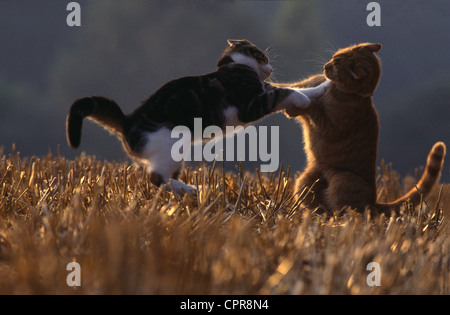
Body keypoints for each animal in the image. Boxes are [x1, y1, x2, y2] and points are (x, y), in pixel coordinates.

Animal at [66, 39, 326, 195]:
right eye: (264, 56)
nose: (271, 69)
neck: (232, 66)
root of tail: (127, 121)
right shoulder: (252, 103)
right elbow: (285, 92)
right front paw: (303, 99)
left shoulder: (262, 91)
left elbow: (294, 89)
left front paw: (320, 89)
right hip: (169, 146)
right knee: (156, 179)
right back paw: (190, 189)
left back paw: (187, 190)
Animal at [284, 42, 444, 215]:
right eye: (334, 57)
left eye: (336, 64)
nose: (325, 66)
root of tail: (374, 202)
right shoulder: (308, 87)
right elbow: (291, 87)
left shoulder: (329, 124)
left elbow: (314, 106)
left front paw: (298, 105)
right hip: (305, 182)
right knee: (319, 205)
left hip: (342, 179)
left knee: (349, 211)